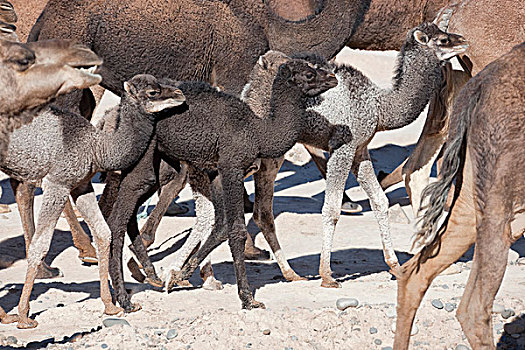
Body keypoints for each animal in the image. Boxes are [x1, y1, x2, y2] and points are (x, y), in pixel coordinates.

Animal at [0, 74, 185, 328]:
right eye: (153, 92)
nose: (180, 94)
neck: (96, 146)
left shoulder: (82, 184)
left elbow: (103, 232)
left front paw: (111, 306)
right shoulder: (58, 183)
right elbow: (41, 244)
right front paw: (24, 316)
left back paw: (3, 314)